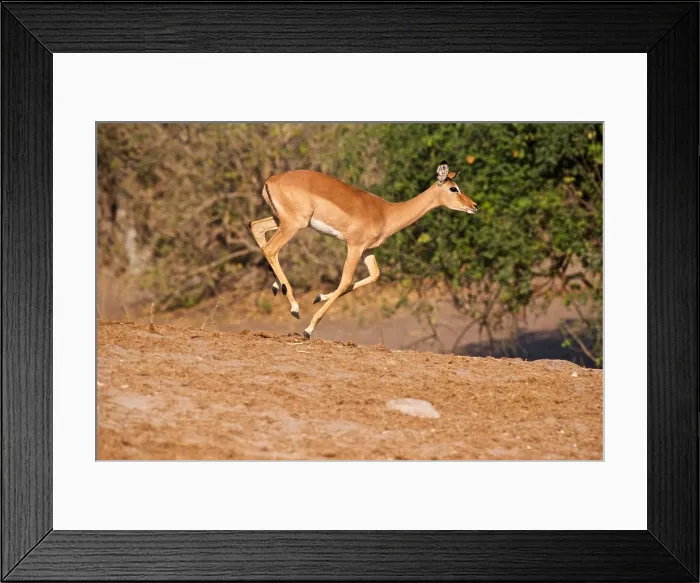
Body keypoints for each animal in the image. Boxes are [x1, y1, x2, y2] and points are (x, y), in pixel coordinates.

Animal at [248, 161, 477, 339]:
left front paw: (318, 297)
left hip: (281, 220)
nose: (474, 206)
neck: (386, 213)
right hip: (294, 224)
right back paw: (295, 308)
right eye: (454, 188)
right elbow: (345, 281)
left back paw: (278, 287)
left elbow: (374, 276)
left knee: (255, 227)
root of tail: (271, 180)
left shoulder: (368, 250)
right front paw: (308, 329)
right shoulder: (354, 247)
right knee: (270, 248)